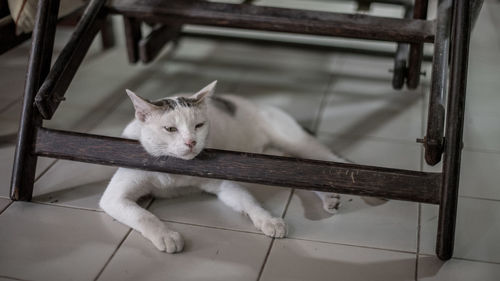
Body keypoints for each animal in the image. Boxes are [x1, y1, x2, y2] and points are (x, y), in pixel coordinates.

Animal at [99, 80, 346, 252]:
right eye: (170, 129)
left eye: (199, 126)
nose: (191, 142)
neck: (177, 170)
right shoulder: (115, 197)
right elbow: (143, 216)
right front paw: (166, 236)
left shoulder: (224, 183)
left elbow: (250, 201)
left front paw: (268, 220)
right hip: (275, 161)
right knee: (303, 172)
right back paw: (328, 197)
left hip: (295, 142)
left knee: (328, 163)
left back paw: (332, 192)